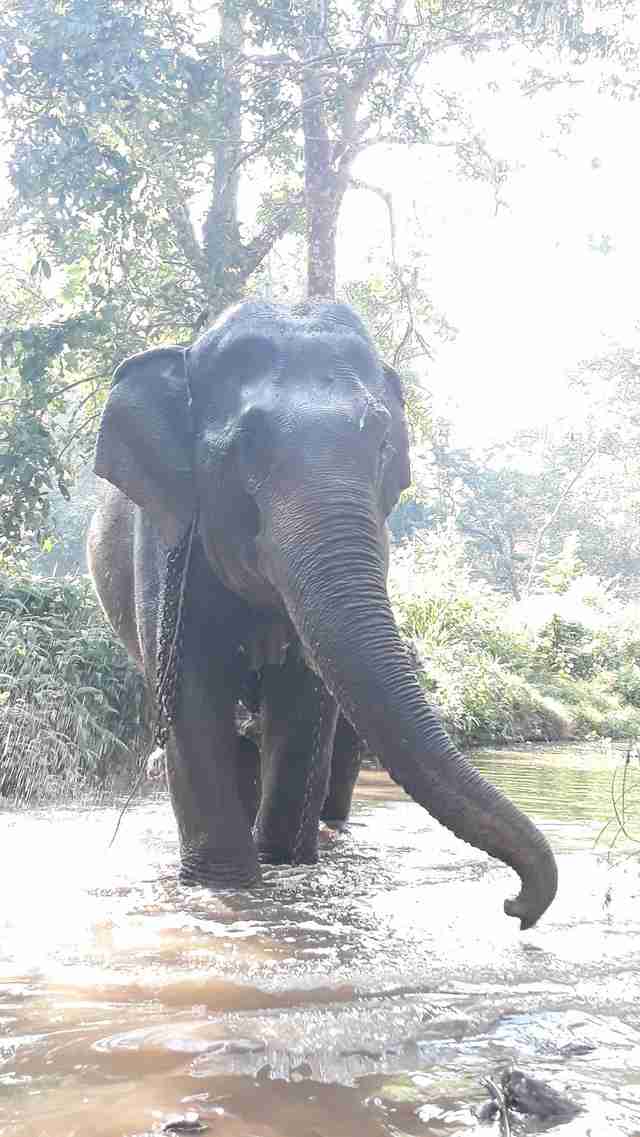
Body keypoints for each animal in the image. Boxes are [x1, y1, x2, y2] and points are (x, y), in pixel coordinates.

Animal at [87, 298, 557, 929]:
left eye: (382, 443)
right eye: (246, 446)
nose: (515, 906)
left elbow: (306, 697)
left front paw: (283, 866)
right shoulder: (165, 538)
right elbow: (191, 692)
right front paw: (225, 890)